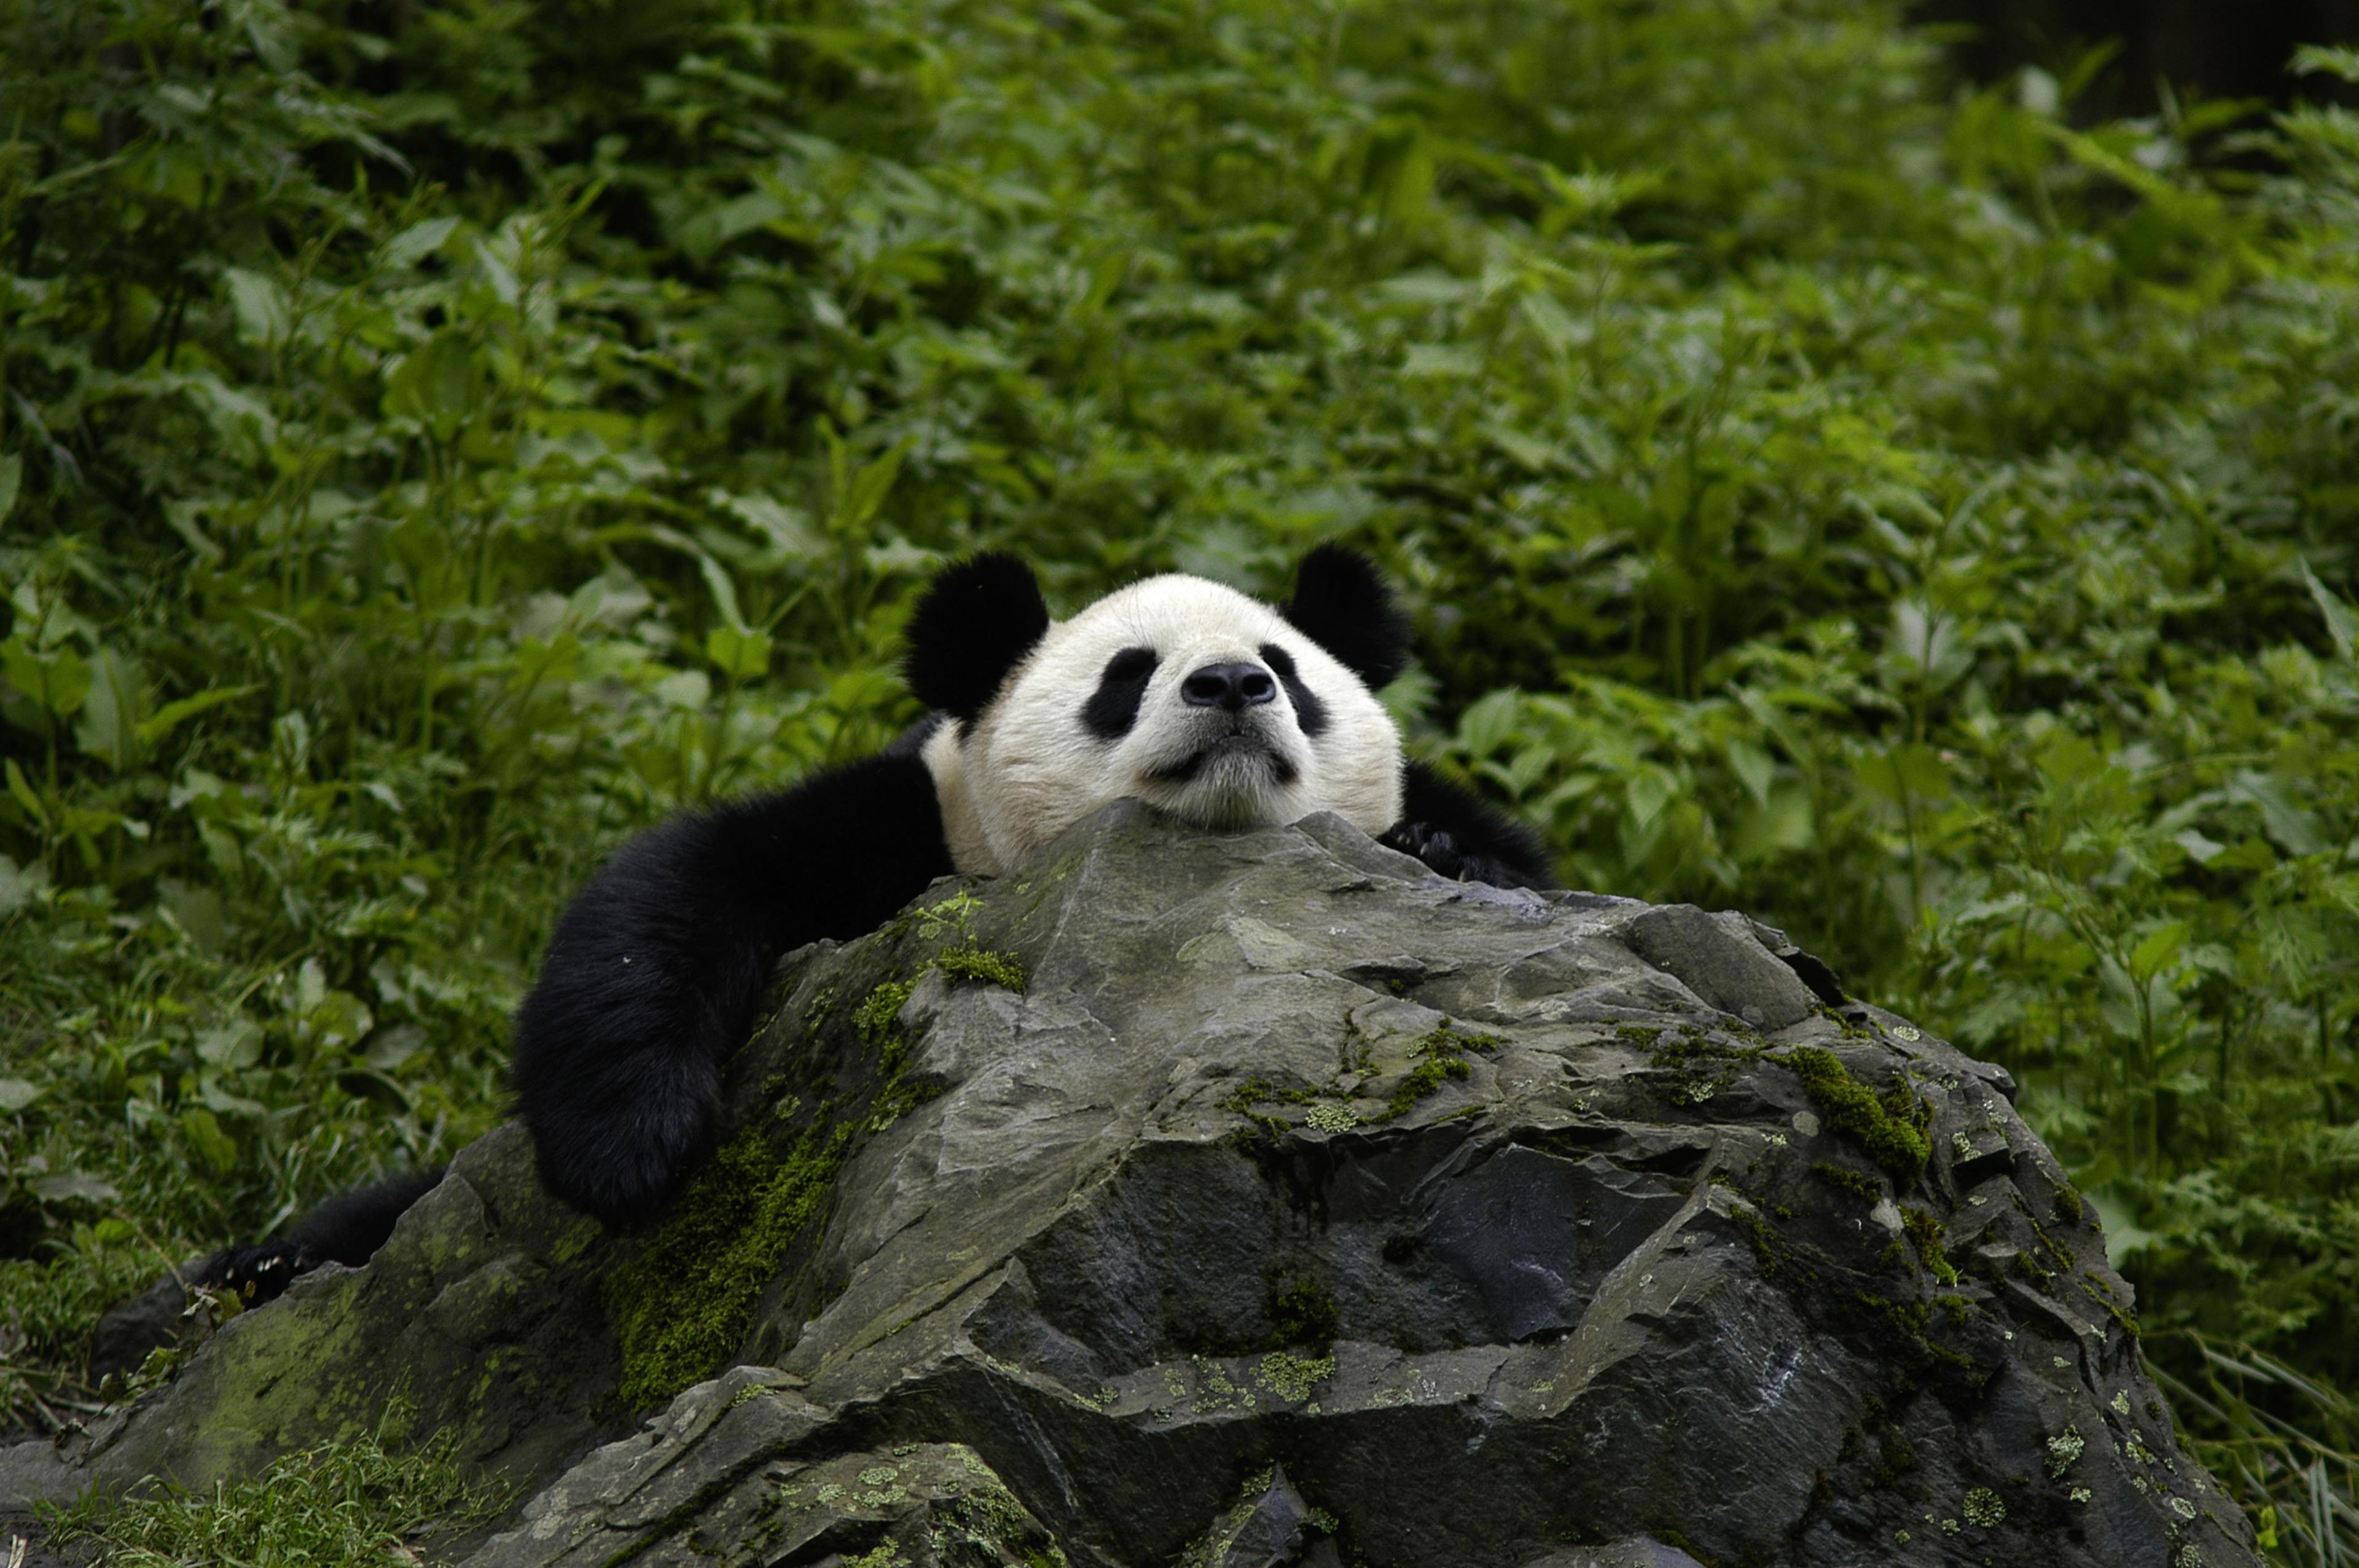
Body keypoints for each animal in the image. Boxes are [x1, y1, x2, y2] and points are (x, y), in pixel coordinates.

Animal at [197, 546, 1550, 1299]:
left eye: (1292, 668)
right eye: (1126, 677)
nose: (1230, 686)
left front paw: (1447, 856)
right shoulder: (914, 830)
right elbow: (684, 883)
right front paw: (635, 1145)